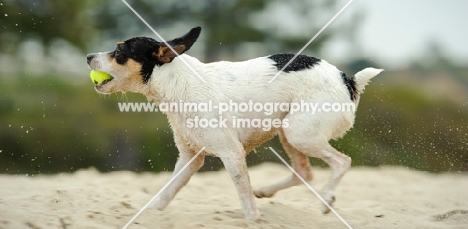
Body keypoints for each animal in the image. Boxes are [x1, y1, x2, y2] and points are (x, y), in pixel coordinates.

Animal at [86, 26, 382, 220]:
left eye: (119, 51)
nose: (88, 56)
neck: (175, 82)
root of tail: (348, 81)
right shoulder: (190, 159)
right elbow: (166, 193)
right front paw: (150, 215)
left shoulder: (231, 154)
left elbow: (242, 193)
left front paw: (253, 218)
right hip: (289, 133)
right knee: (304, 172)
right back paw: (267, 191)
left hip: (300, 134)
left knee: (342, 162)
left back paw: (326, 199)